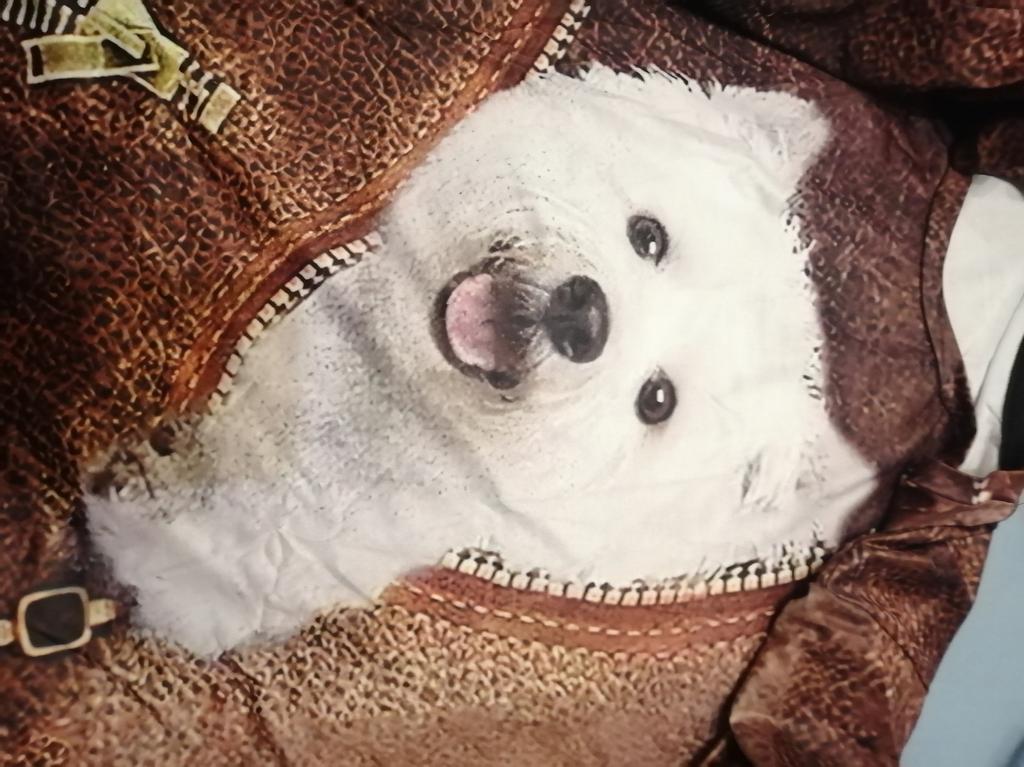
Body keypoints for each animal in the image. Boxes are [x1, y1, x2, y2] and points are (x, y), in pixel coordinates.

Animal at [86, 63, 938, 657]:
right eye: (649, 236)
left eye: (656, 400)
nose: (582, 315)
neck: (402, 397)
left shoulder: (347, 534)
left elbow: (243, 558)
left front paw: (151, 553)